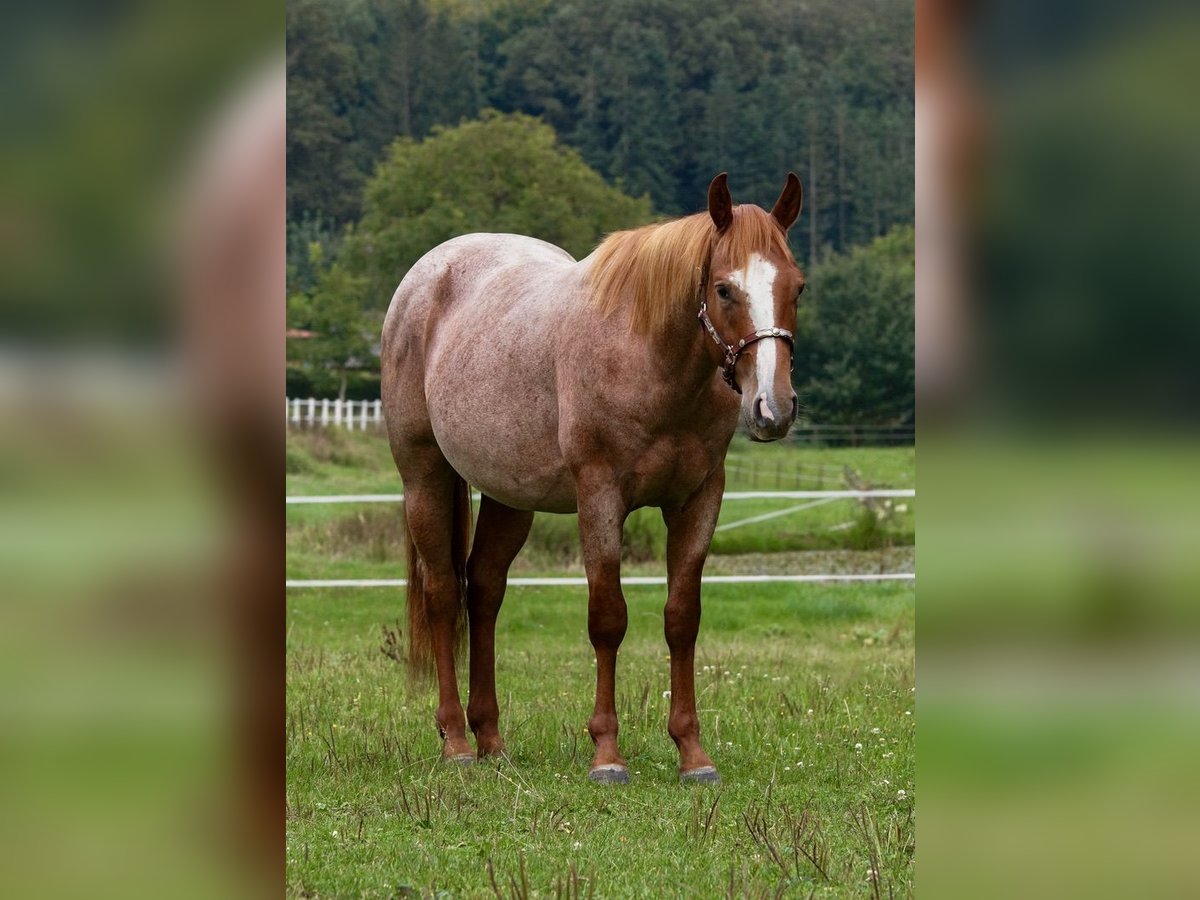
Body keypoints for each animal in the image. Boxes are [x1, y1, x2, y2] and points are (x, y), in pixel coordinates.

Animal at [379, 172, 801, 787]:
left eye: (798, 287)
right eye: (725, 290)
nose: (774, 408)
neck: (648, 358)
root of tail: (426, 275)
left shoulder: (699, 499)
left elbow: (682, 619)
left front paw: (692, 753)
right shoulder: (600, 496)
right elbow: (608, 619)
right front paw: (606, 754)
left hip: (511, 496)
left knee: (484, 590)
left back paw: (491, 740)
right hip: (424, 475)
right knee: (441, 594)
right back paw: (456, 741)